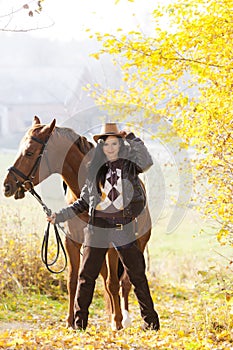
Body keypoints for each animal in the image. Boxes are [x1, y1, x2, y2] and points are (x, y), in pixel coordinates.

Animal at [2, 117, 152, 330]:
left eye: (29, 152)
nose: (7, 186)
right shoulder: (72, 244)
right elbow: (74, 280)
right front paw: (71, 321)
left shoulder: (111, 246)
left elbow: (114, 282)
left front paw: (117, 322)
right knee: (106, 279)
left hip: (137, 244)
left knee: (125, 281)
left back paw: (124, 318)